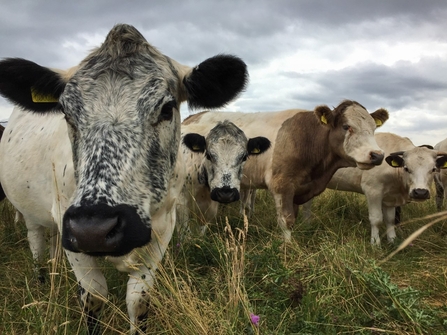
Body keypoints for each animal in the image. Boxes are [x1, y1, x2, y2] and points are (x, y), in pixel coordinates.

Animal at [0, 24, 248, 335]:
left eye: (166, 108)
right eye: (66, 112)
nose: (94, 229)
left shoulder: (163, 227)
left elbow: (138, 298)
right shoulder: (72, 228)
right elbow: (94, 296)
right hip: (32, 211)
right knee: (36, 242)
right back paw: (42, 279)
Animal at [181, 101, 388, 243]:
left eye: (373, 128)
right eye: (347, 127)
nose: (377, 155)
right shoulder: (282, 185)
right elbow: (287, 220)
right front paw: (288, 246)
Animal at [316, 133, 447, 245]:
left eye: (433, 169)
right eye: (406, 168)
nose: (420, 192)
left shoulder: (390, 197)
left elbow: (390, 219)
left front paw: (392, 240)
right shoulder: (372, 191)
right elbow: (376, 219)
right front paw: (375, 242)